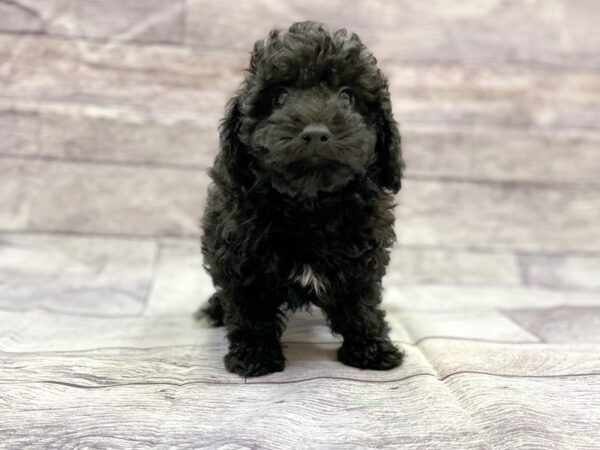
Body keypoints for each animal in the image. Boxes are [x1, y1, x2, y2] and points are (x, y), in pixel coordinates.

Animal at [199, 22, 406, 376]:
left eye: (347, 96)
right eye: (279, 96)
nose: (316, 133)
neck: (309, 205)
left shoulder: (363, 257)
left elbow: (361, 303)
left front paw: (371, 348)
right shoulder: (239, 256)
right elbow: (250, 308)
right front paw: (254, 355)